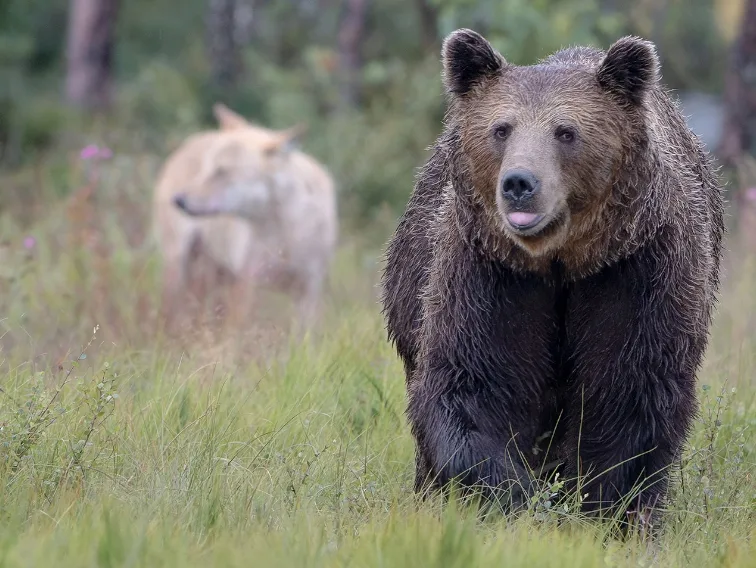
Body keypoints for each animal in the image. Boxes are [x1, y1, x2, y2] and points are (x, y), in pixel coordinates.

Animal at [380, 29, 725, 529]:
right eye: (501, 128)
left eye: (566, 132)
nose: (520, 183)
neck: (562, 260)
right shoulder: (492, 273)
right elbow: (475, 383)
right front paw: (518, 498)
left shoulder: (636, 270)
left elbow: (629, 392)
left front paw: (604, 510)